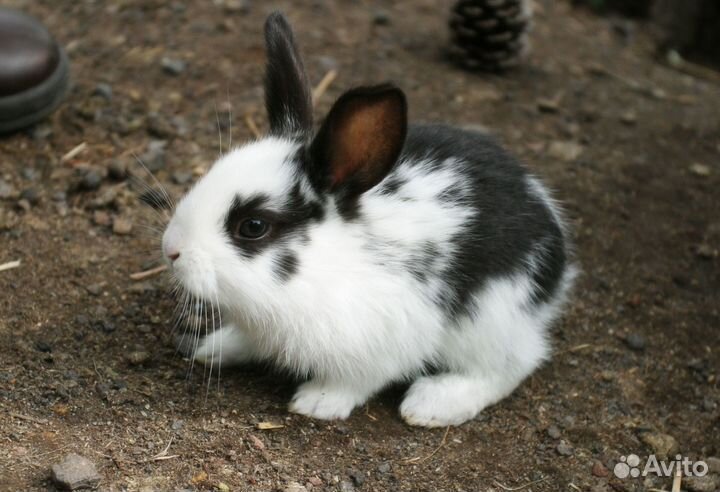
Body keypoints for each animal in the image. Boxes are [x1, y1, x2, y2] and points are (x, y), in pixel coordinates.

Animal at [161, 12, 576, 427]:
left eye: (253, 226)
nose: (171, 249)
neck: (325, 267)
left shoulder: (384, 340)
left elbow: (357, 380)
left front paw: (316, 402)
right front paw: (213, 348)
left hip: (490, 320)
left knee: (512, 365)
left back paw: (430, 403)